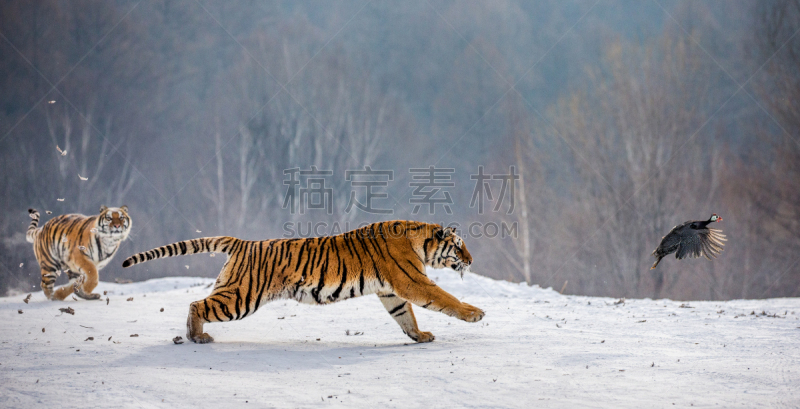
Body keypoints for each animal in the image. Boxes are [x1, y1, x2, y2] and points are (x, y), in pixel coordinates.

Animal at [122, 222, 484, 342]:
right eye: (459, 245)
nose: (471, 259)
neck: (420, 241)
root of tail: (242, 242)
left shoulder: (391, 292)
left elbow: (405, 316)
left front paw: (419, 336)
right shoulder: (413, 282)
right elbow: (446, 299)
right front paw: (475, 314)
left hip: (233, 290)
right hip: (240, 298)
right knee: (197, 303)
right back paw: (196, 336)